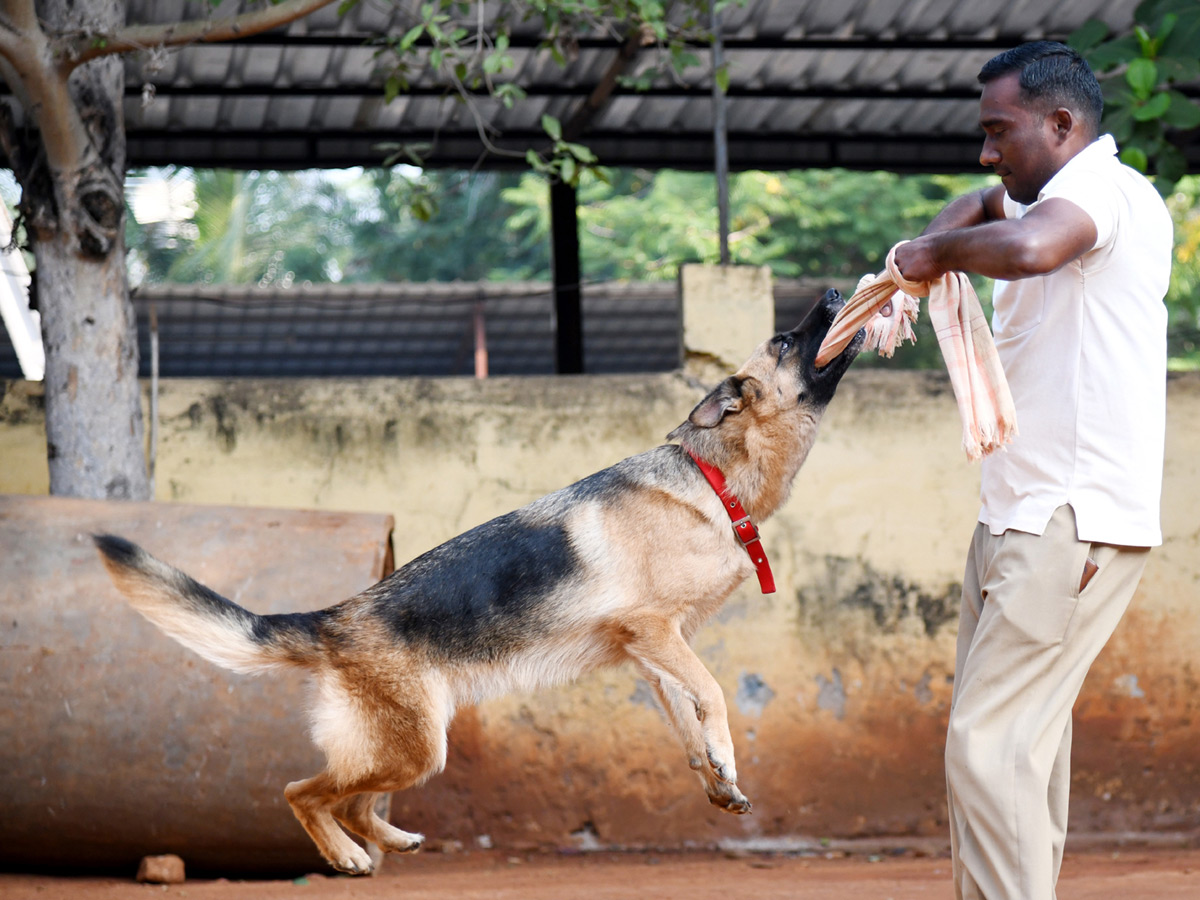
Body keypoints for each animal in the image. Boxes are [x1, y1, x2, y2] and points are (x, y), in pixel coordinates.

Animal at [96, 290, 864, 883]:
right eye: (783, 339)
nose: (834, 290)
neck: (711, 479)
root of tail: (332, 618)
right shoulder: (653, 633)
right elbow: (713, 695)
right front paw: (727, 757)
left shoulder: (653, 653)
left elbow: (687, 719)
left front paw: (717, 779)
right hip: (412, 748)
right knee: (303, 792)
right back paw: (346, 857)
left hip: (406, 749)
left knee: (351, 801)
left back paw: (389, 841)